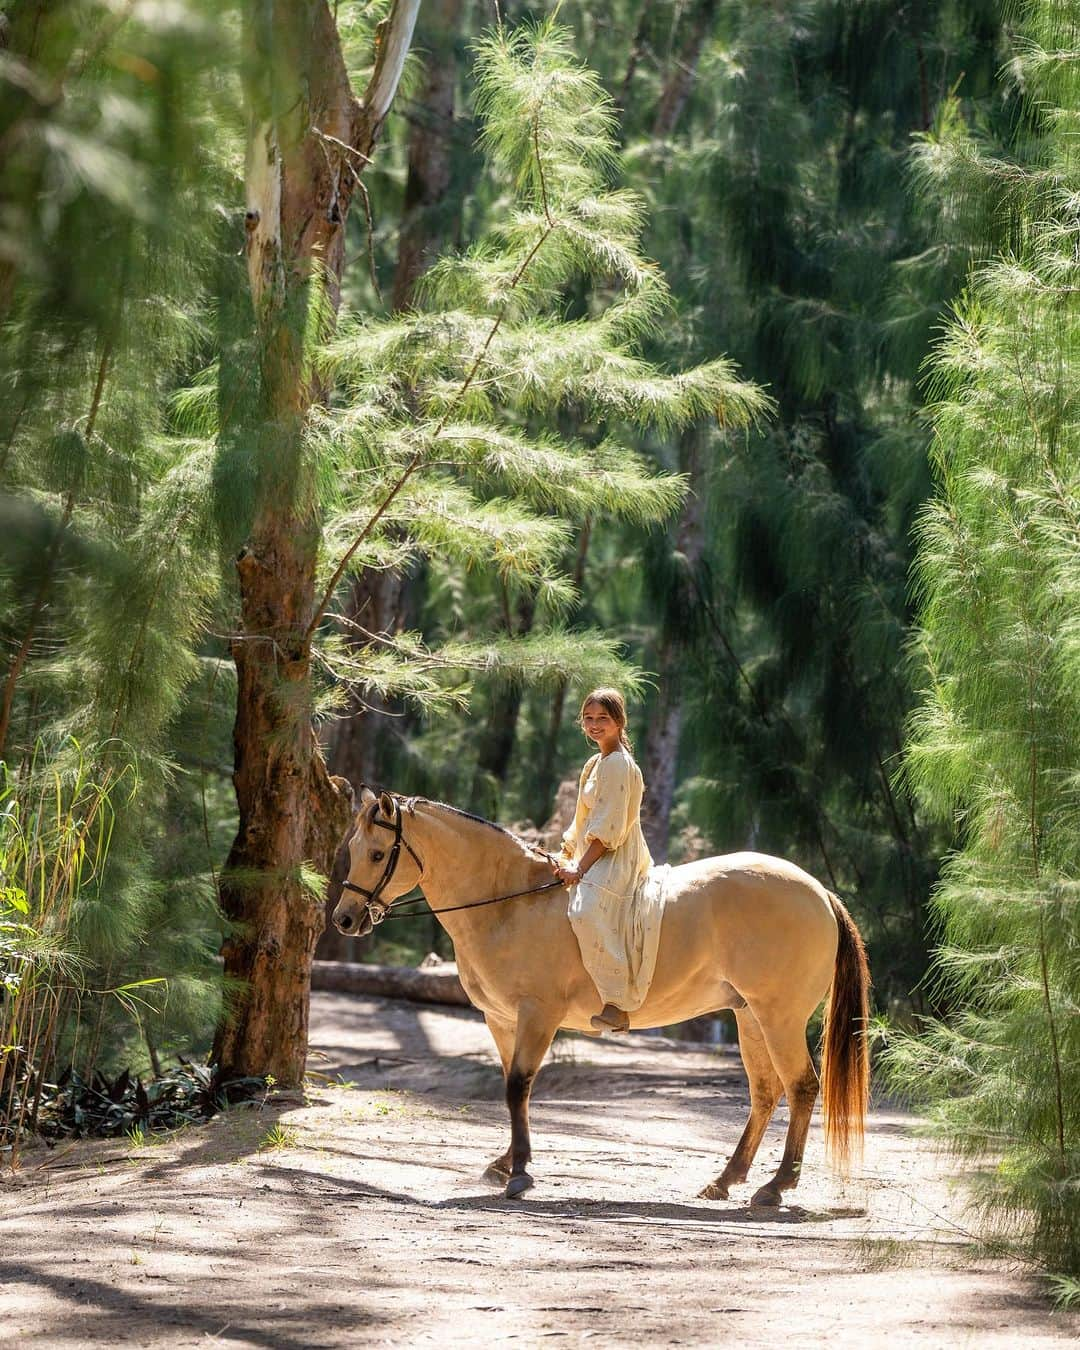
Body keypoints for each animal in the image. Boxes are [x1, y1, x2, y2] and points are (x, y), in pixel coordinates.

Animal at [330, 788, 869, 1209]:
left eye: (377, 854)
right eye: (354, 849)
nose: (344, 920)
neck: (511, 904)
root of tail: (820, 892)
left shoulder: (537, 1016)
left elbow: (518, 1086)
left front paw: (520, 1173)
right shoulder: (501, 1020)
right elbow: (511, 1087)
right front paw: (506, 1163)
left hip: (778, 1018)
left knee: (800, 1087)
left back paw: (776, 1187)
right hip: (750, 1017)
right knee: (766, 1092)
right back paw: (726, 1180)